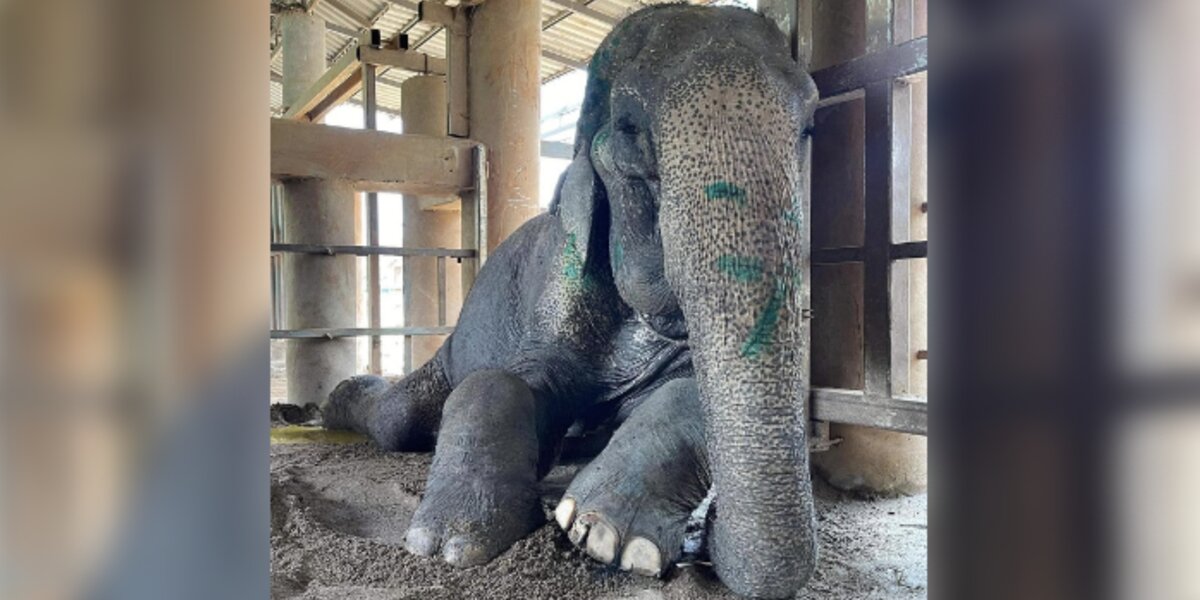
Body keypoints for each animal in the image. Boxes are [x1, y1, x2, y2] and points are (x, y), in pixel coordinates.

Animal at [321, 5, 818, 598]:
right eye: (628, 128)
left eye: (809, 126)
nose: (708, 544)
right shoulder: (560, 280)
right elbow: (501, 380)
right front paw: (450, 543)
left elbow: (689, 389)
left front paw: (606, 536)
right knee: (398, 419)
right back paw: (332, 403)